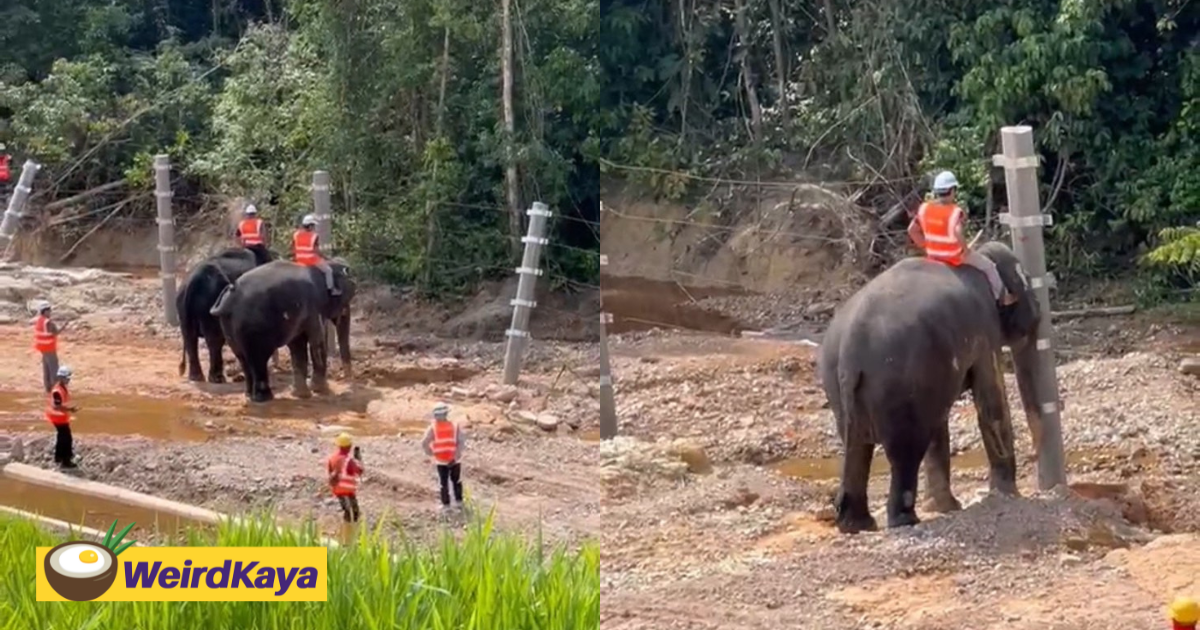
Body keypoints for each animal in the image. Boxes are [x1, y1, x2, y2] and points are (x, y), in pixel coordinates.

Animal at [175, 243, 274, 384]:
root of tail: (193, 281)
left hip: (182, 304)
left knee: (189, 336)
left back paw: (196, 377)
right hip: (210, 302)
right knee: (214, 338)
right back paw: (217, 378)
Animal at [210, 259, 355, 403]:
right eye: (346, 299)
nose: (346, 377)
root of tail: (229, 296)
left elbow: (298, 346)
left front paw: (301, 394)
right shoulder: (314, 307)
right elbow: (317, 341)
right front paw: (322, 391)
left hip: (228, 324)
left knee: (242, 357)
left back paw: (250, 395)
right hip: (252, 328)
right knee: (258, 358)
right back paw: (264, 398)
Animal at [820, 241, 1046, 530]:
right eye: (1026, 281)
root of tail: (851, 350)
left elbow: (941, 421)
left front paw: (945, 508)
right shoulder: (985, 330)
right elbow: (991, 402)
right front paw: (1007, 496)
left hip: (843, 388)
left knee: (859, 447)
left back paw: (858, 525)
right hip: (899, 384)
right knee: (905, 452)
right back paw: (905, 520)